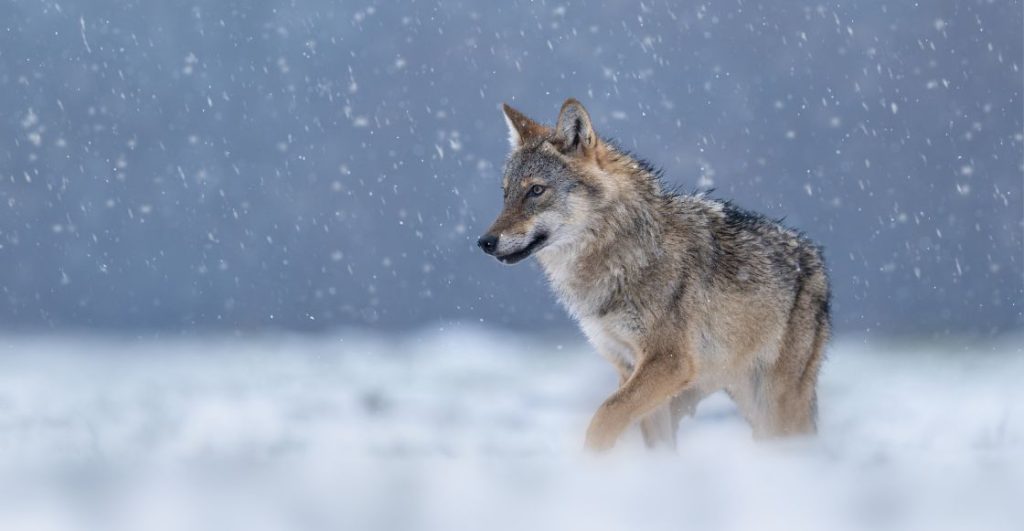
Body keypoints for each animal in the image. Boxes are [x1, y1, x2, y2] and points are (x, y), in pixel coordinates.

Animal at [477, 99, 831, 451]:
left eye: (536, 190)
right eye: (505, 194)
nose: (485, 242)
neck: (622, 254)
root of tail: (814, 257)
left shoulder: (669, 362)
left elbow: (604, 418)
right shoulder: (630, 368)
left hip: (775, 405)